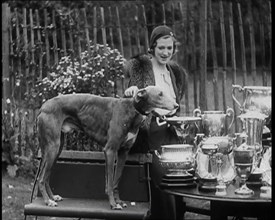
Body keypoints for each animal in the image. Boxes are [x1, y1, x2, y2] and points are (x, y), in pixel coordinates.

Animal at [36, 85, 179, 210]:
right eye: (160, 94)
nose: (177, 106)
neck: (131, 109)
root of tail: (43, 107)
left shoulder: (123, 152)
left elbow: (116, 179)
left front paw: (119, 201)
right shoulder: (110, 150)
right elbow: (110, 181)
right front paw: (113, 204)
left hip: (56, 149)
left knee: (46, 176)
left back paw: (52, 197)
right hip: (53, 147)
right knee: (41, 178)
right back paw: (48, 201)